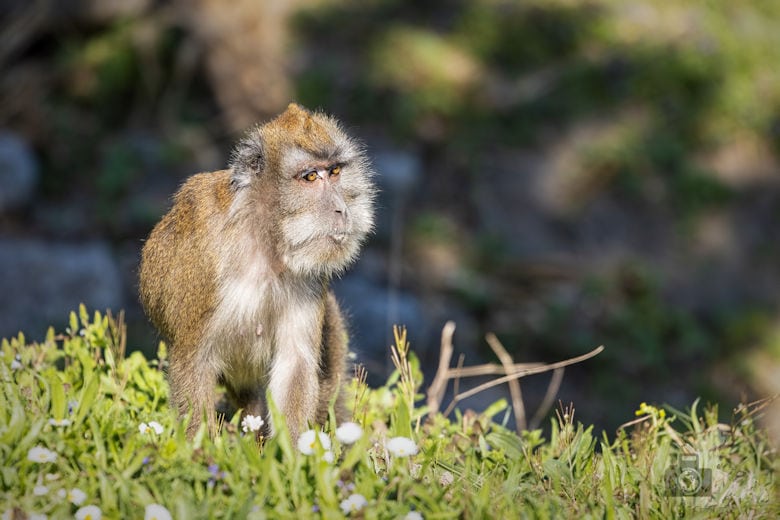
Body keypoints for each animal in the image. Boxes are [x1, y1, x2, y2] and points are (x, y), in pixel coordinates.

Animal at [139, 103, 376, 441]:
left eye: (335, 172)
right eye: (310, 177)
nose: (342, 210)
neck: (264, 236)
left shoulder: (309, 277)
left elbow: (295, 364)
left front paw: (292, 453)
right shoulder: (203, 263)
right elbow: (193, 361)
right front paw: (200, 450)